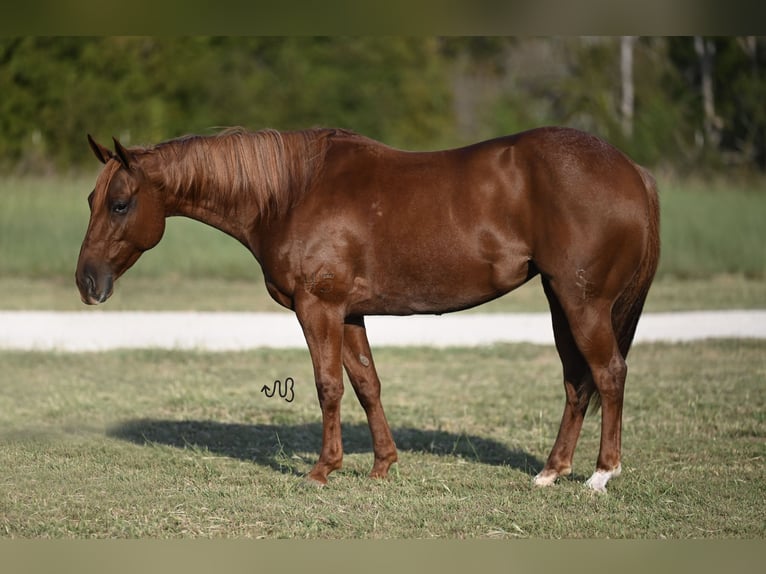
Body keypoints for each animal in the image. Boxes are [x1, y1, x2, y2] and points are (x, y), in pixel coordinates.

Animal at [78, 127, 660, 496]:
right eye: (91, 200)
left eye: (121, 204)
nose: (86, 281)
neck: (291, 194)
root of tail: (631, 169)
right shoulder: (349, 313)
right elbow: (366, 383)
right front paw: (382, 465)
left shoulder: (318, 308)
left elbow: (328, 386)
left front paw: (322, 469)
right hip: (561, 302)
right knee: (577, 383)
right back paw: (551, 472)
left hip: (584, 304)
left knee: (608, 374)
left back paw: (601, 475)